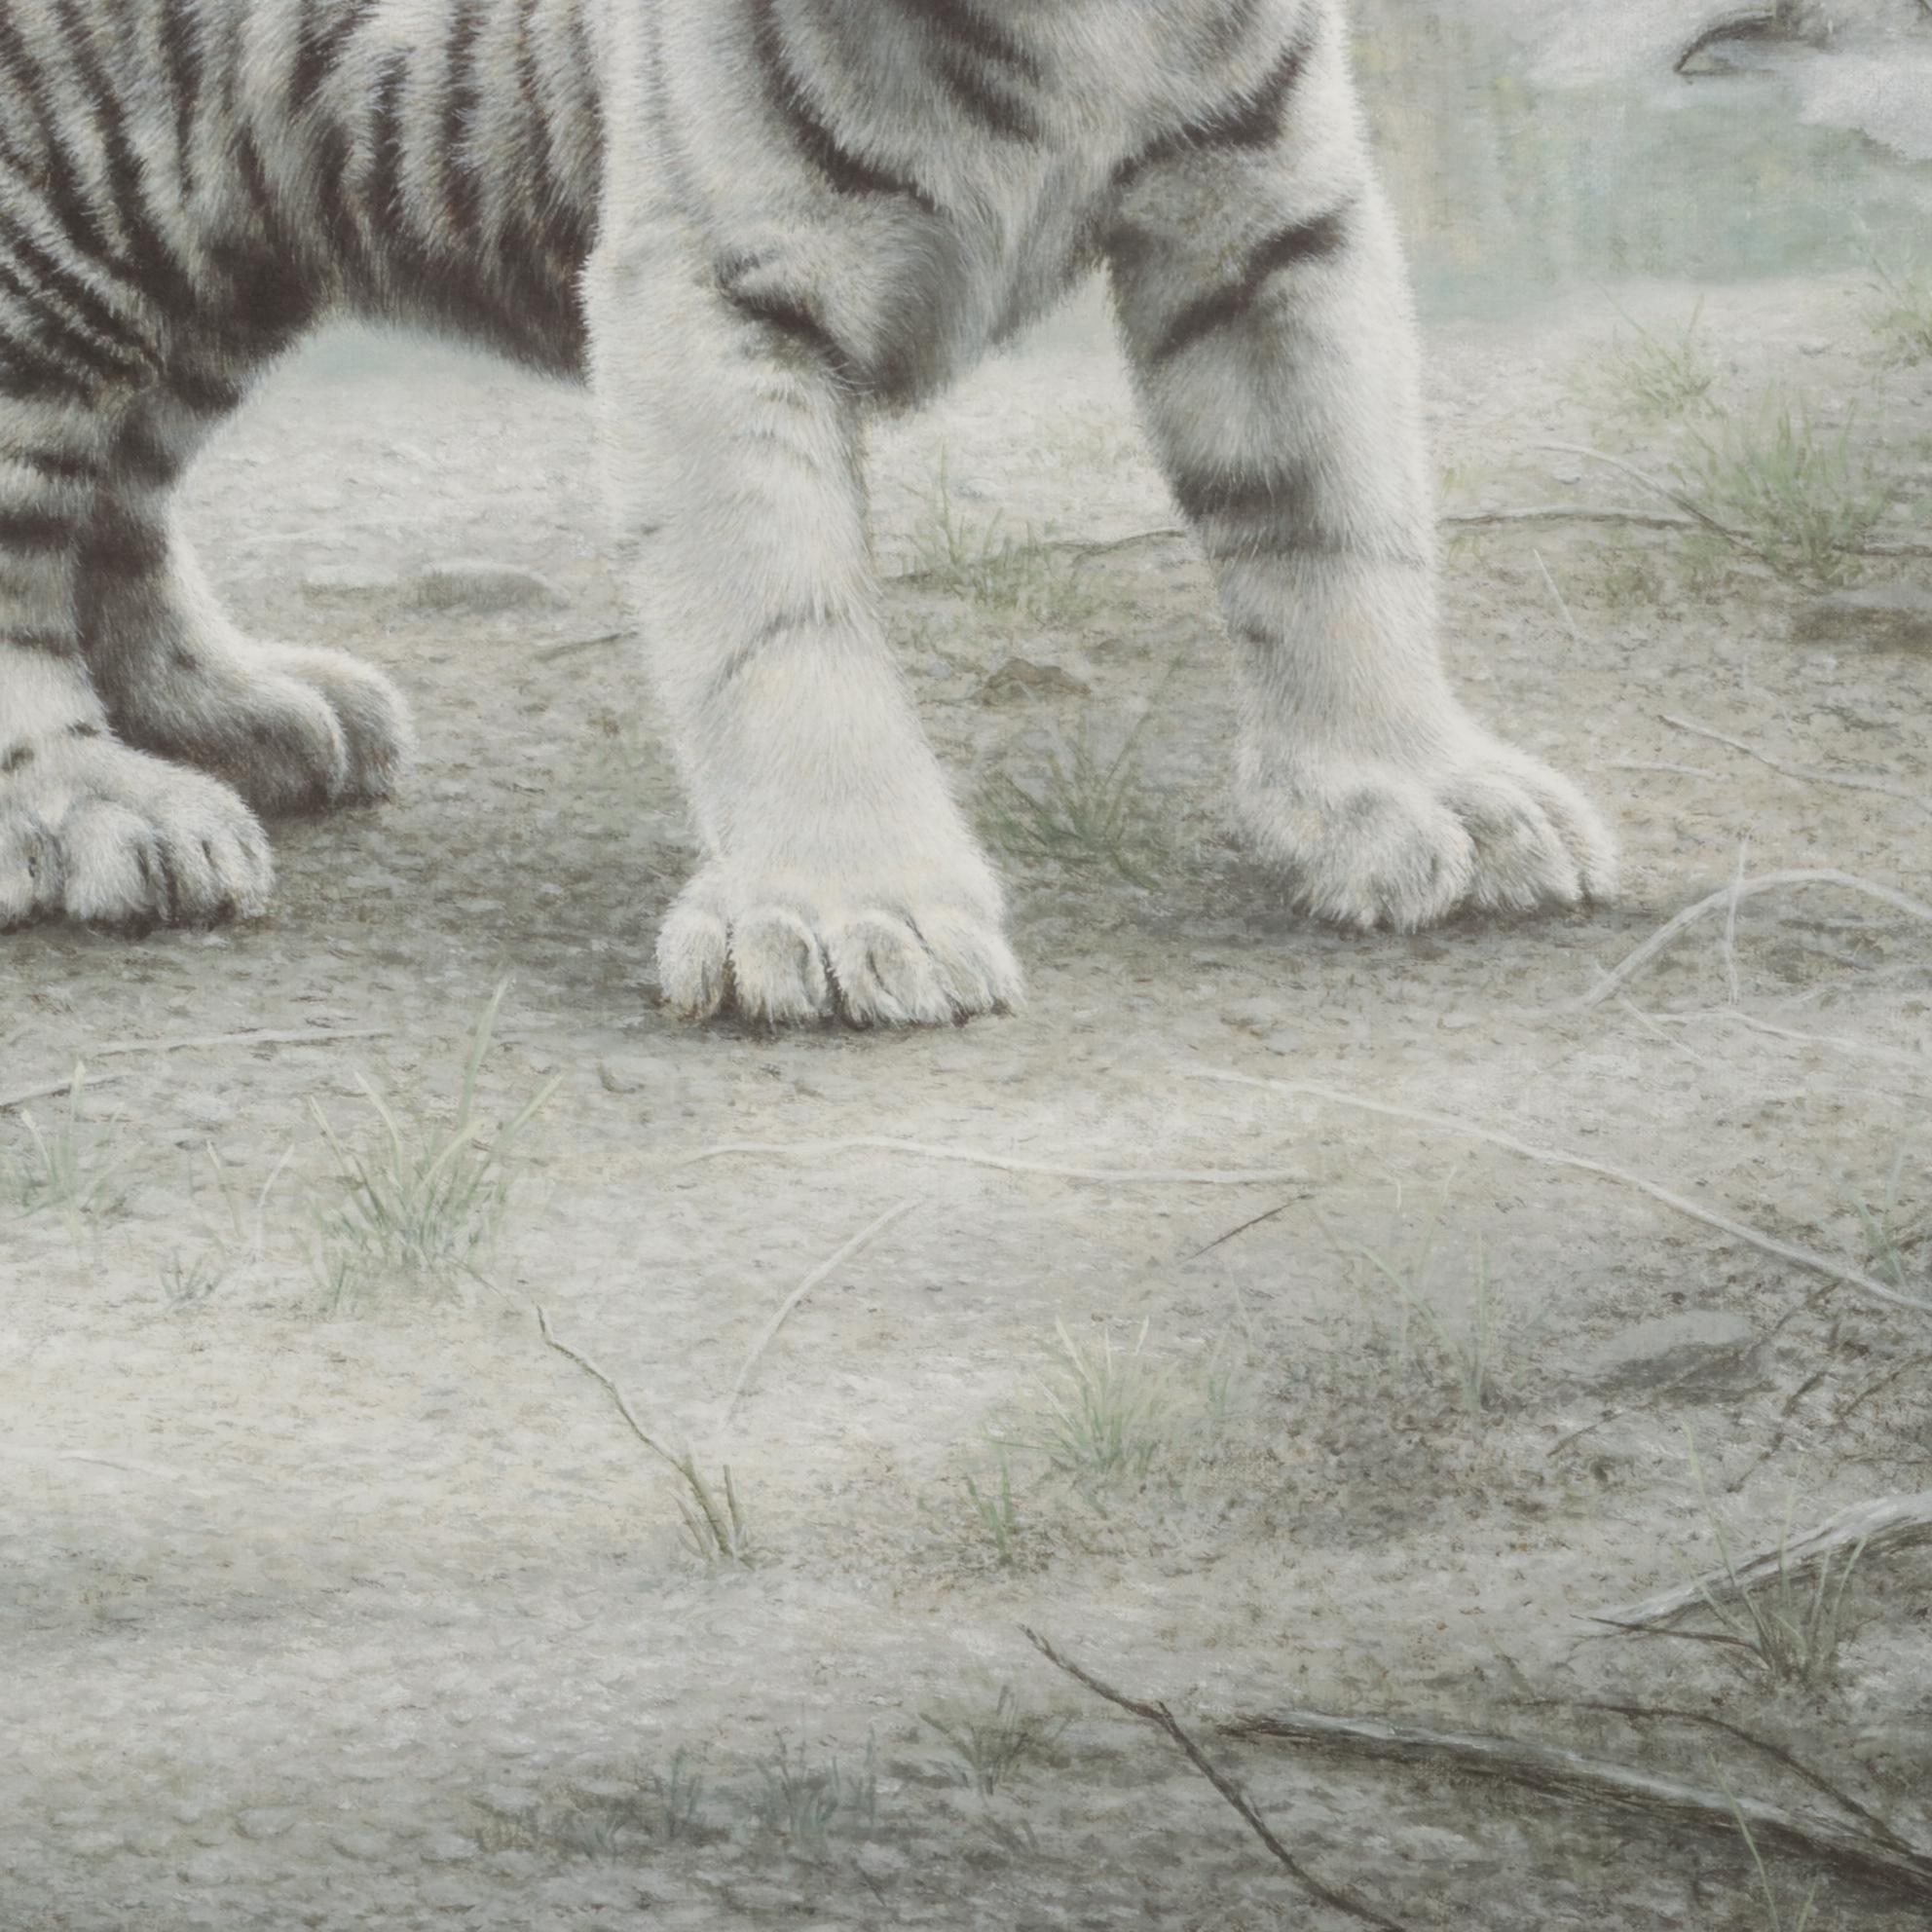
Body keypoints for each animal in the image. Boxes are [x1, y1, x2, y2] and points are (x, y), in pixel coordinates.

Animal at [0, 0, 1617, 1026]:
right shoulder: (715, 272)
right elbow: (780, 621)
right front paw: (854, 917)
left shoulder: (1271, 205)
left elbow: (1335, 514)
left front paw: (1426, 798)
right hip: (57, 201)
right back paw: (98, 807)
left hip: (219, 231)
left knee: (118, 493)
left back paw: (240, 712)